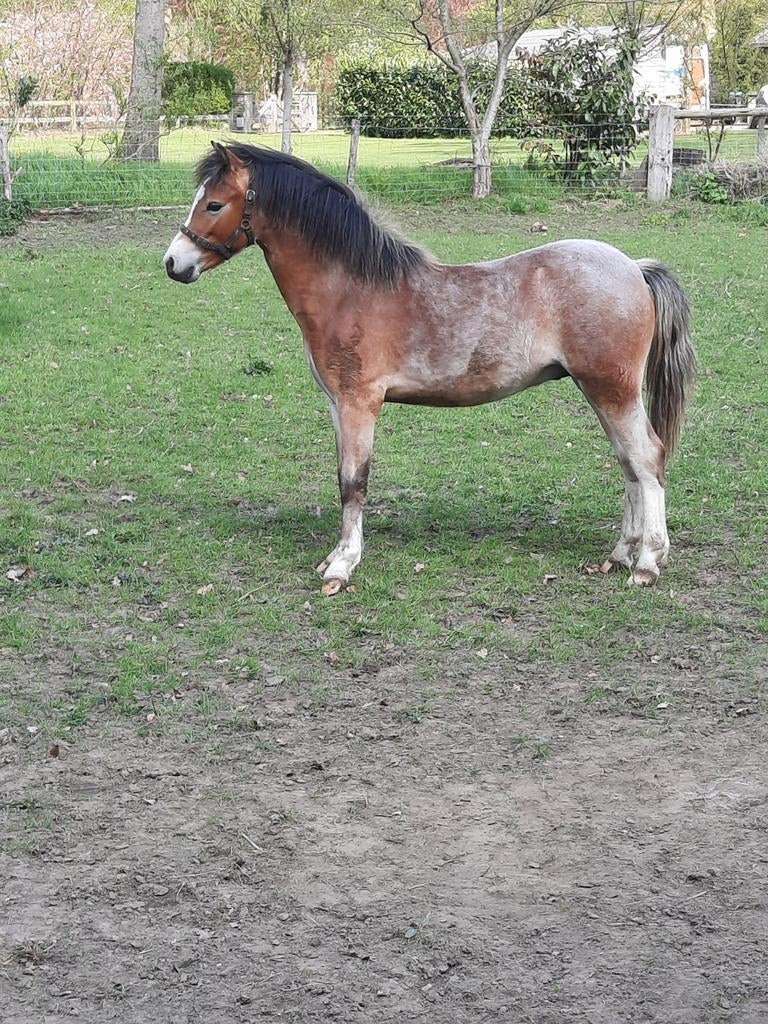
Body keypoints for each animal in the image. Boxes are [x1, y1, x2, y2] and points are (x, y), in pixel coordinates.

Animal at [164, 142, 695, 596]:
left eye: (214, 204)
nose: (173, 263)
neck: (351, 290)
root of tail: (634, 267)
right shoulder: (338, 406)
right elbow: (343, 479)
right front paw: (335, 556)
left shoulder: (360, 404)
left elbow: (354, 481)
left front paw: (343, 566)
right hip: (603, 392)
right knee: (629, 463)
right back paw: (621, 554)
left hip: (612, 390)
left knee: (646, 458)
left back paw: (648, 562)